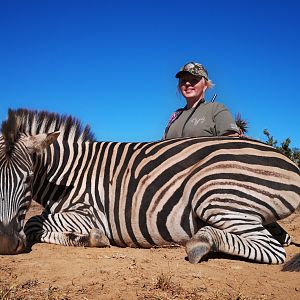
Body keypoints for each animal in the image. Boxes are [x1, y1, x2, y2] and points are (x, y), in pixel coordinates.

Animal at [0, 109, 298, 264]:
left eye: (28, 178)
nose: (5, 243)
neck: (69, 173)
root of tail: (289, 162)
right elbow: (36, 222)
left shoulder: (89, 214)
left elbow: (34, 223)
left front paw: (92, 238)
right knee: (280, 238)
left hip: (214, 194)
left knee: (272, 249)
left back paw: (201, 242)